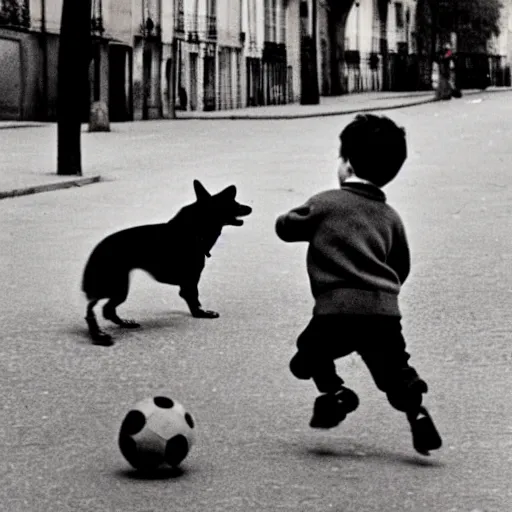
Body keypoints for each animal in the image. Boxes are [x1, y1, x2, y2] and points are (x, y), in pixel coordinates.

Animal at [81, 178, 253, 346]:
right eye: (234, 203)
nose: (250, 207)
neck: (193, 229)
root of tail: (97, 250)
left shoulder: (188, 281)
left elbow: (190, 296)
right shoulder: (192, 278)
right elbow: (193, 297)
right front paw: (200, 313)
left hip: (114, 286)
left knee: (105, 309)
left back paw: (122, 324)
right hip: (116, 285)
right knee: (98, 307)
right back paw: (99, 335)